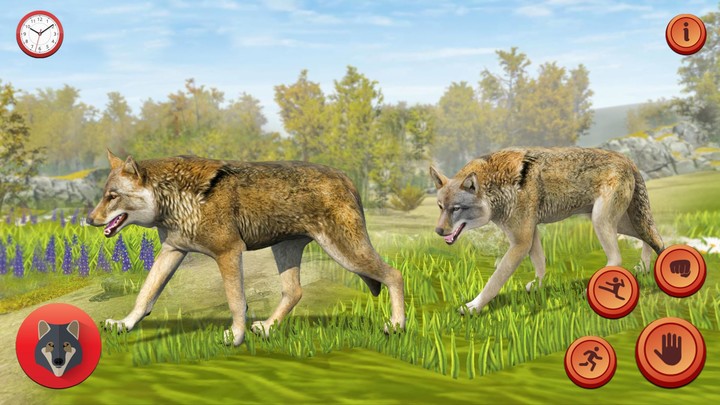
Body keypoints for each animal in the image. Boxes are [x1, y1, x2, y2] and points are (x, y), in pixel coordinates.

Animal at [87, 151, 405, 346]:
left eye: (112, 196)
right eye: (104, 196)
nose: (88, 219)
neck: (174, 200)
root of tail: (345, 177)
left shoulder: (228, 253)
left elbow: (236, 301)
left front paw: (236, 337)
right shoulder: (171, 252)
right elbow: (144, 296)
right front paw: (125, 324)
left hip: (346, 254)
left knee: (395, 275)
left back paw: (397, 326)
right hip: (287, 252)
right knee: (294, 292)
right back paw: (267, 328)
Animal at [430, 147, 664, 314]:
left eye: (456, 209)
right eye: (440, 207)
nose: (438, 231)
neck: (497, 188)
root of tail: (627, 159)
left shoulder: (520, 242)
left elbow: (494, 282)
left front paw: (473, 307)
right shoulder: (530, 234)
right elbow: (540, 263)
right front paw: (537, 286)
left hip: (602, 222)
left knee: (619, 256)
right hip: (620, 222)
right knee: (653, 238)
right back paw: (644, 268)